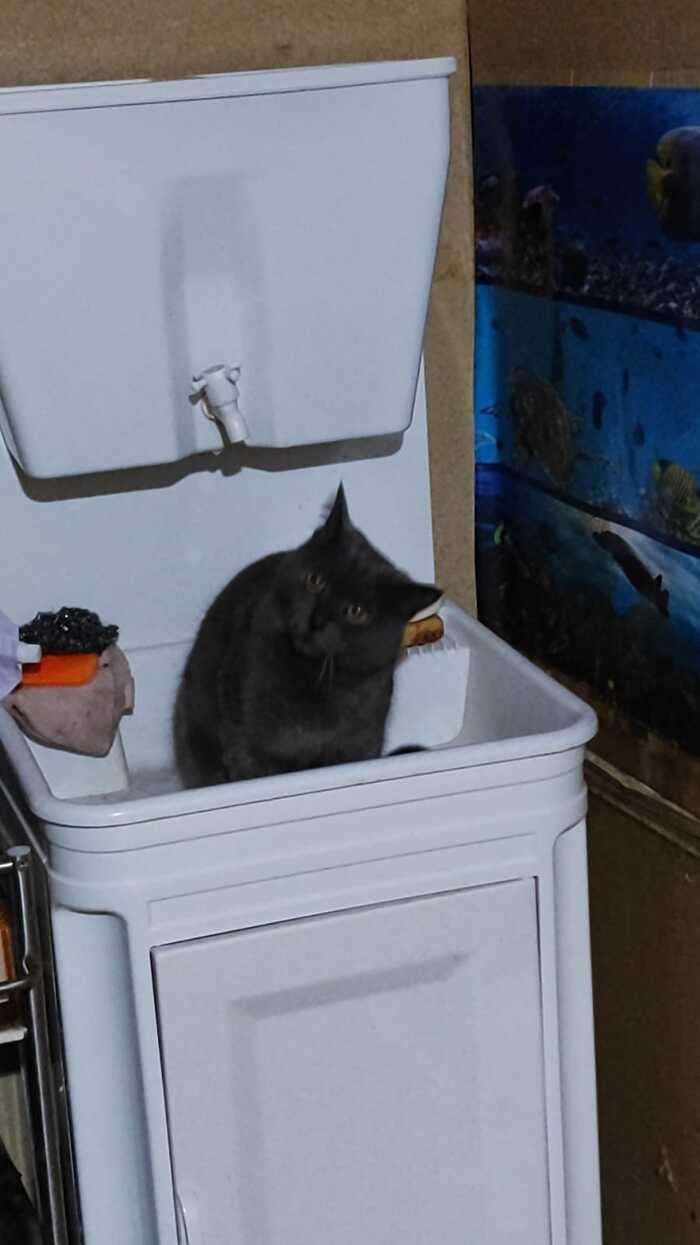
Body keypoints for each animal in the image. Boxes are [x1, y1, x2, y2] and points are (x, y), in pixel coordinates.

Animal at [174, 484, 441, 787]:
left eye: (356, 611)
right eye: (315, 580)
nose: (316, 620)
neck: (313, 676)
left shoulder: (358, 745)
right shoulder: (244, 738)